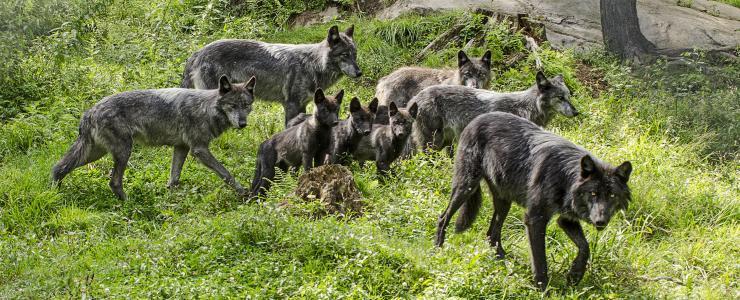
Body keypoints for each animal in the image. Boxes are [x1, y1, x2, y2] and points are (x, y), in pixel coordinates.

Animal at [51, 76, 254, 200]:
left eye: (246, 105)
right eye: (232, 105)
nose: (242, 124)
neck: (207, 108)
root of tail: (90, 111)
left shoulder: (181, 147)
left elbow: (174, 178)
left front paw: (171, 199)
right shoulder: (199, 150)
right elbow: (226, 173)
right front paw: (244, 193)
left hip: (94, 154)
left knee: (59, 166)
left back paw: (55, 191)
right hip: (123, 152)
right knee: (114, 182)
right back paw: (129, 202)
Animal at [182, 24, 362, 125]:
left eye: (355, 54)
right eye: (345, 55)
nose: (359, 73)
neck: (312, 64)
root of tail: (198, 52)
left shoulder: (302, 105)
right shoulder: (291, 105)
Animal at [410, 71, 580, 154]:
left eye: (568, 96)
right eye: (560, 98)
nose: (576, 112)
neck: (526, 108)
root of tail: (415, 98)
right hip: (433, 144)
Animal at [436, 111, 632, 290]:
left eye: (612, 195)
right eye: (593, 194)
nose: (601, 221)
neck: (565, 177)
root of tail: (478, 118)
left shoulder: (566, 219)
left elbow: (585, 247)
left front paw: (575, 275)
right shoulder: (535, 219)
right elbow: (540, 260)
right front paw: (542, 288)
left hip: (503, 202)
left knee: (492, 234)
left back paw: (505, 263)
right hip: (466, 187)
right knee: (443, 217)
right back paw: (438, 249)